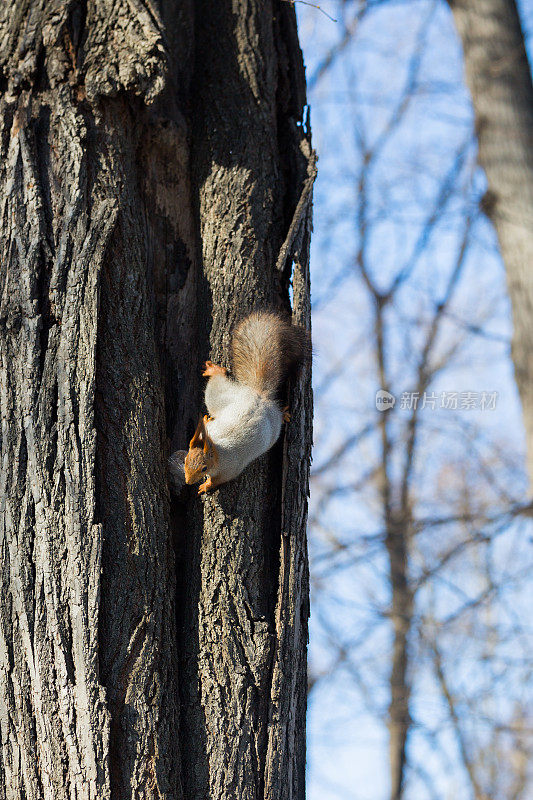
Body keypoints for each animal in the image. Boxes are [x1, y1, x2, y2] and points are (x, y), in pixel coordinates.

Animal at [179, 308, 308, 490]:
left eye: (204, 468)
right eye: (185, 460)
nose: (188, 481)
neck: (216, 448)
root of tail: (257, 395)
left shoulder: (230, 468)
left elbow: (219, 480)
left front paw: (206, 486)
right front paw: (204, 421)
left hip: (270, 425)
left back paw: (284, 414)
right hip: (224, 395)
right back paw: (214, 373)